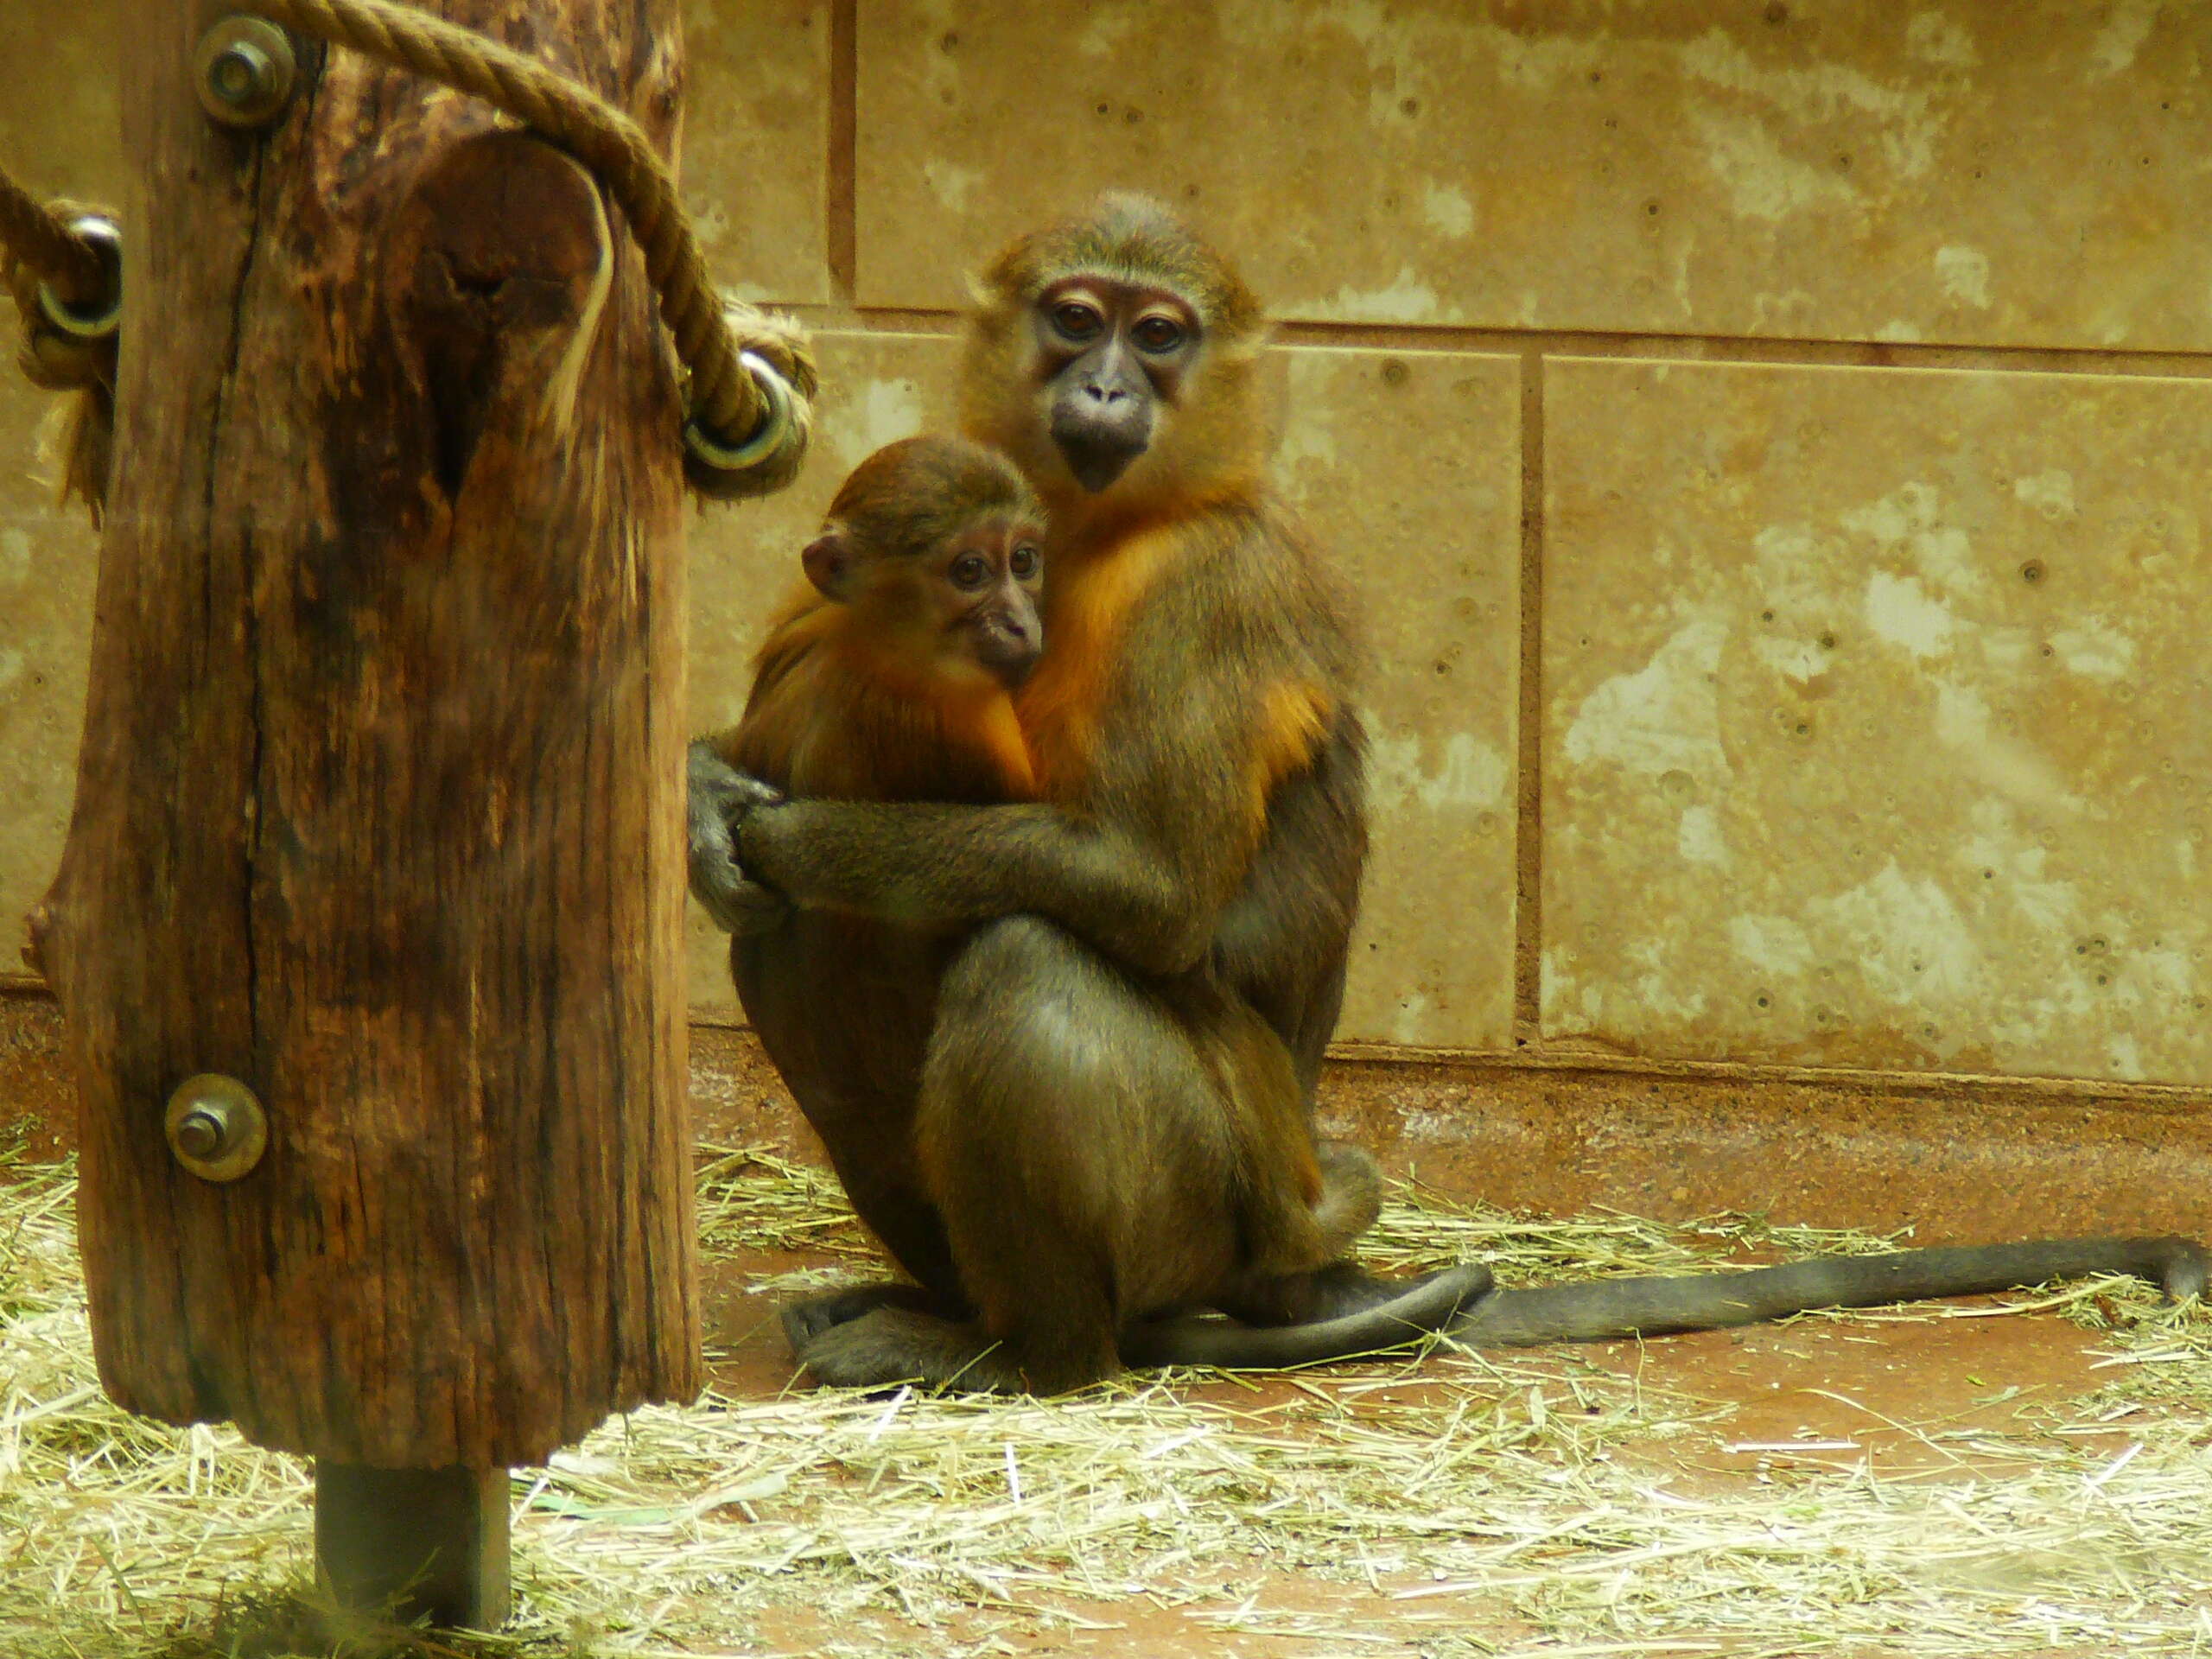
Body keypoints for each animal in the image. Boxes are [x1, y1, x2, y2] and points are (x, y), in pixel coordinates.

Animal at [685, 191, 2194, 1389]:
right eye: (1074, 319)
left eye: (1158, 336)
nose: (1107, 389)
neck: (1094, 529)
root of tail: (1279, 1270)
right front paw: (709, 796)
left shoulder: (1213, 583)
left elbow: (1150, 895)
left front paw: (772, 828)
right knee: (795, 958)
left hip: (1208, 1212)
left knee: (1017, 958)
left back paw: (1036, 1355)